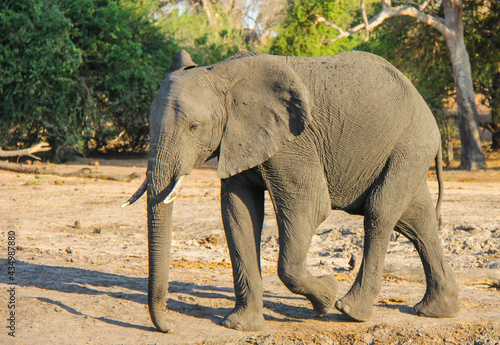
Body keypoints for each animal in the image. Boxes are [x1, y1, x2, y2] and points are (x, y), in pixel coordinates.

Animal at [123, 49, 458, 332]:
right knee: (417, 220)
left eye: (194, 127)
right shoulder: (238, 140)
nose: (169, 327)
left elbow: (309, 208)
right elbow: (238, 213)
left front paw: (326, 297)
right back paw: (436, 311)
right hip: (406, 151)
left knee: (380, 211)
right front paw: (240, 326)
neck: (223, 75)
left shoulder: (294, 144)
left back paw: (350, 311)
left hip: (410, 145)